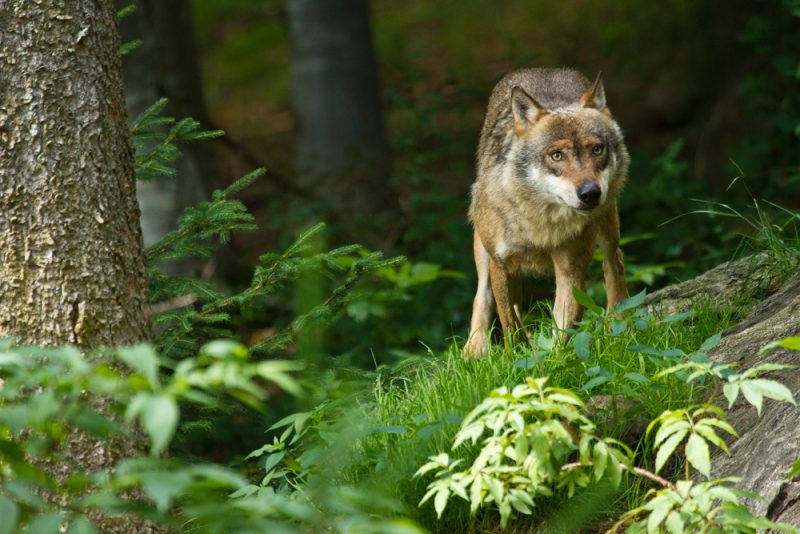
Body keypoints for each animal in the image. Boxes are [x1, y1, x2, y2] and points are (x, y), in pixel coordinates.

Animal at [465, 68, 629, 357]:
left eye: (597, 149)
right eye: (556, 155)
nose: (590, 193)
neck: (540, 221)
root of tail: (543, 69)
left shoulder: (570, 268)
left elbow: (563, 328)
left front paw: (557, 361)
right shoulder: (501, 263)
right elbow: (509, 325)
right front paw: (515, 359)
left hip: (608, 226)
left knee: (615, 265)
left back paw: (619, 326)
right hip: (483, 250)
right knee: (481, 295)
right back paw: (474, 350)